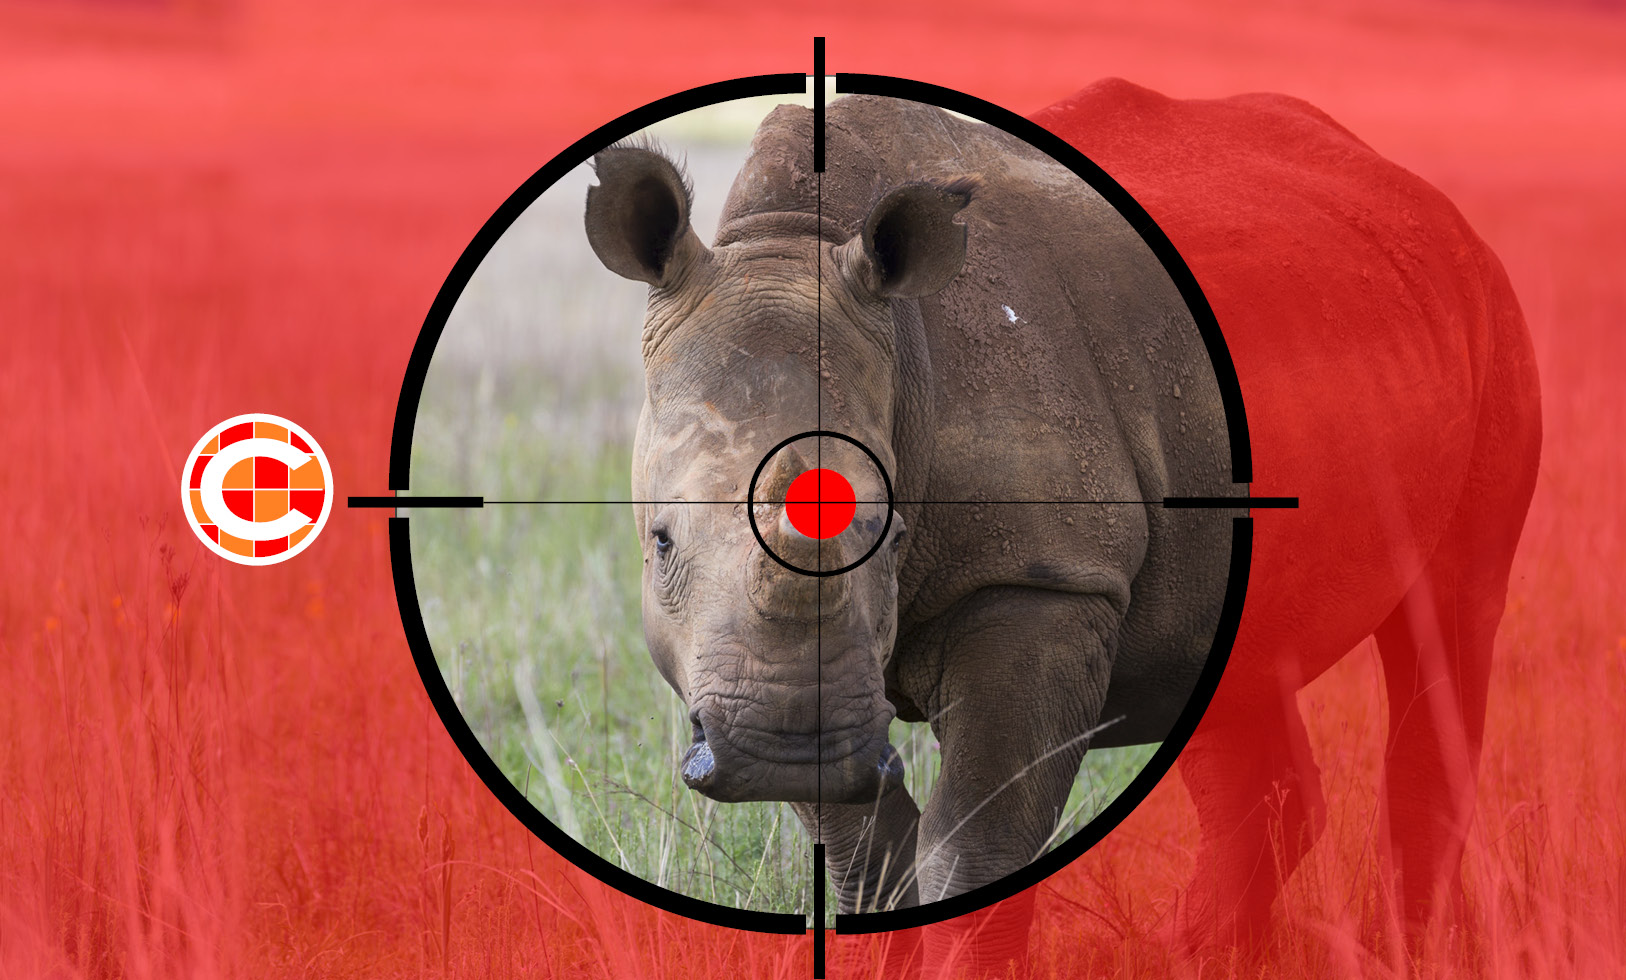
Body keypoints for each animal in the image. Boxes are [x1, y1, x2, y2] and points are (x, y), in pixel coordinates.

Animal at [583, 83, 1540, 962]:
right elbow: (865, 849)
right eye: (661, 542)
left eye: (890, 537)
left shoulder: (1042, 581)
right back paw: (1192, 955)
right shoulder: (771, 665)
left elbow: (974, 845)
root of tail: (1427, 203)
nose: (785, 747)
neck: (795, 241)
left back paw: (1396, 950)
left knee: (1452, 614)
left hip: (1491, 321)